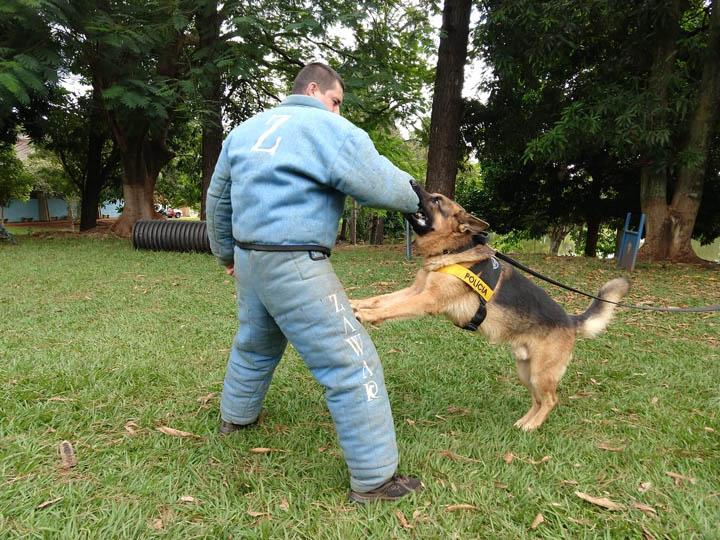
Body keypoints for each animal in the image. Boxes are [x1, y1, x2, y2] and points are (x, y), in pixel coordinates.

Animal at [352, 181, 628, 430]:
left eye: (437, 200)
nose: (411, 181)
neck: (454, 249)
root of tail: (570, 320)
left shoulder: (425, 299)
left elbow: (390, 308)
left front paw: (364, 315)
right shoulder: (415, 291)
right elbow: (382, 299)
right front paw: (358, 304)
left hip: (540, 374)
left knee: (551, 400)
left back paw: (532, 426)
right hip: (526, 372)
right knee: (538, 400)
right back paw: (524, 423)